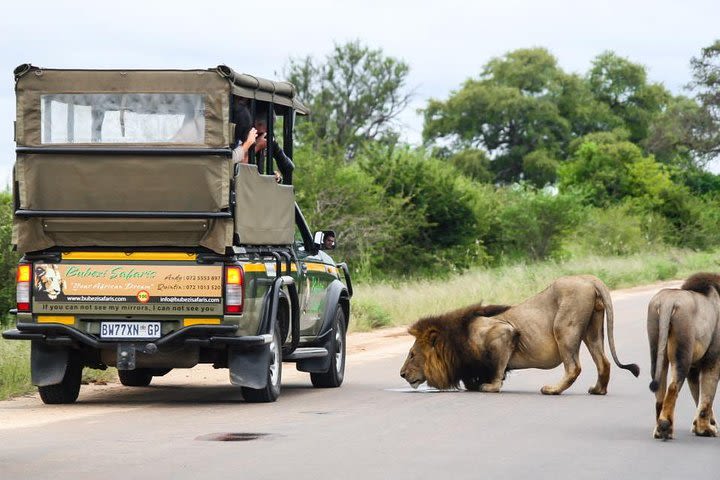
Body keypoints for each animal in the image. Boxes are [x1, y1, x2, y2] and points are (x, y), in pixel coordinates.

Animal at [400, 276, 640, 396]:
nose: (401, 374)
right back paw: (598, 390)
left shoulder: (503, 333)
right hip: (592, 330)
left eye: (412, 355)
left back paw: (552, 390)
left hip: (564, 327)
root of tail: (591, 280)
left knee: (574, 367)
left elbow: (497, 370)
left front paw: (490, 387)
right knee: (604, 362)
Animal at [648, 272, 720, 440]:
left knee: (660, 389)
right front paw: (705, 429)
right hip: (683, 353)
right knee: (673, 387)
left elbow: (698, 395)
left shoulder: (694, 368)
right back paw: (665, 428)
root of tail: (667, 302)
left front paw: (702, 426)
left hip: (656, 348)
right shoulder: (713, 358)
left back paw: (658, 429)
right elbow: (707, 395)